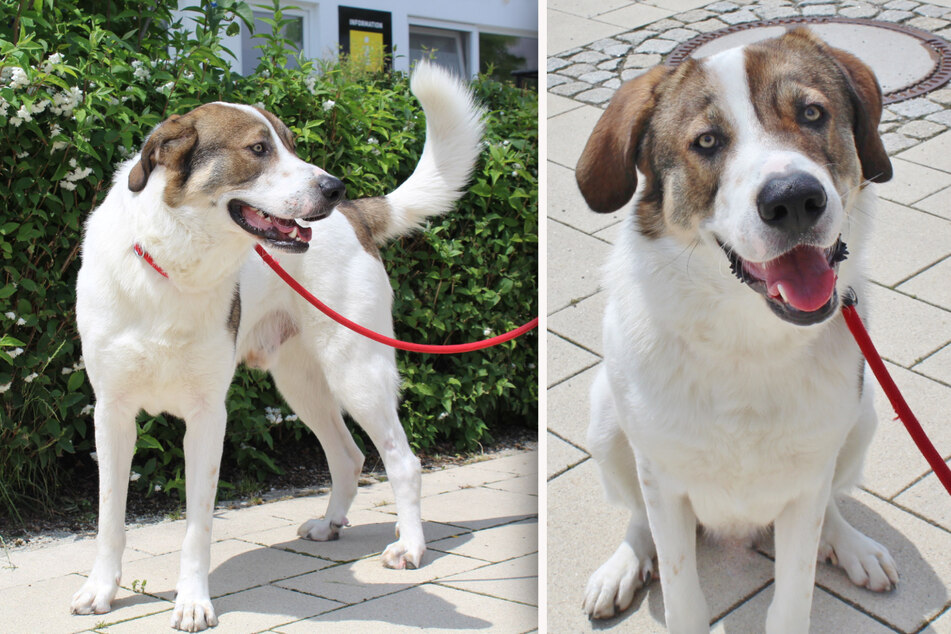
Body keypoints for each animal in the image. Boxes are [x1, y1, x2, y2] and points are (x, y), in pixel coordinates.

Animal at [70, 58, 484, 628]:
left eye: (290, 144)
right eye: (259, 149)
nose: (333, 186)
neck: (174, 266)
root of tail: (357, 215)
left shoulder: (208, 416)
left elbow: (198, 526)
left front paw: (193, 601)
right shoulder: (111, 412)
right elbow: (110, 515)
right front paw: (101, 590)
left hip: (357, 369)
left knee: (403, 460)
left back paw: (411, 546)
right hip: (300, 382)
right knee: (348, 456)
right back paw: (332, 524)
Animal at [580, 27, 900, 628]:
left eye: (812, 113)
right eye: (707, 142)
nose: (793, 199)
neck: (747, 338)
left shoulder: (807, 481)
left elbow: (794, 596)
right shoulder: (661, 480)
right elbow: (681, 594)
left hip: (864, 415)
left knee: (833, 502)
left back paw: (850, 544)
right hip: (606, 419)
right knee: (637, 517)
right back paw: (624, 564)